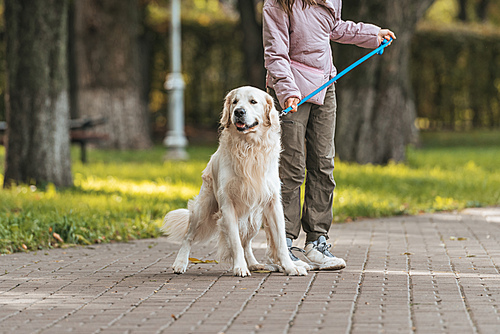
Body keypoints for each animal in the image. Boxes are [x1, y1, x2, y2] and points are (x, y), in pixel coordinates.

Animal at [162, 85, 306, 276]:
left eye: (253, 101)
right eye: (235, 102)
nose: (238, 112)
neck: (249, 147)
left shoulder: (273, 203)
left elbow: (281, 241)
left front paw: (290, 267)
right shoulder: (228, 205)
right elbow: (235, 242)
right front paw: (240, 267)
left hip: (254, 219)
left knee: (247, 243)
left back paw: (254, 264)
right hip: (202, 209)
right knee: (189, 236)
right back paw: (180, 263)